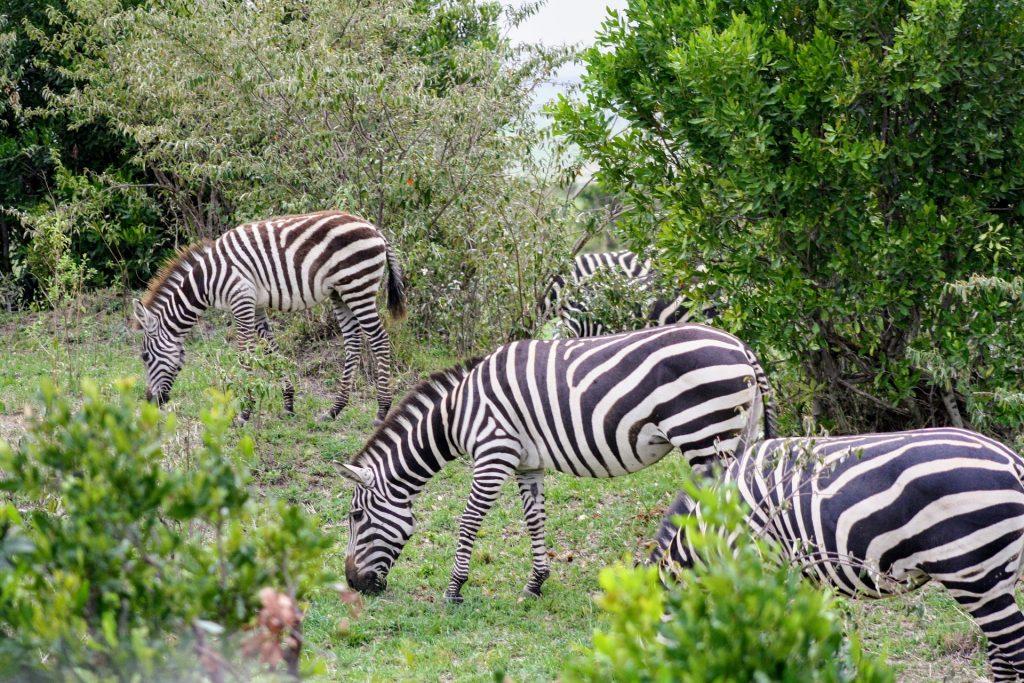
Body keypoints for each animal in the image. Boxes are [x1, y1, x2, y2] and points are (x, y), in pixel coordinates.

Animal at [132, 209, 407, 421]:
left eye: (145, 357)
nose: (150, 402)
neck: (206, 280)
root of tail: (374, 228)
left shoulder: (241, 300)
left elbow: (245, 355)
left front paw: (244, 412)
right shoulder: (256, 306)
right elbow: (270, 350)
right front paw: (288, 403)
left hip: (357, 286)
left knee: (379, 339)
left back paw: (382, 410)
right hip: (340, 292)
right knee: (352, 342)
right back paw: (334, 410)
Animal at [335, 323, 774, 602]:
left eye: (356, 516)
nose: (353, 584)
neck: (458, 414)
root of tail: (742, 348)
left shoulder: (494, 452)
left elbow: (469, 520)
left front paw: (454, 589)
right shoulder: (527, 462)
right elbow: (535, 519)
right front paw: (535, 585)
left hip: (705, 435)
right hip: (736, 437)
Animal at [651, 430, 1024, 679]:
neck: (711, 531)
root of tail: (1013, 461)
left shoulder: (763, 569)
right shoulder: (804, 580)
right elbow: (821, 637)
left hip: (974, 574)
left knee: (1014, 649)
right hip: (999, 574)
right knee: (1002, 658)